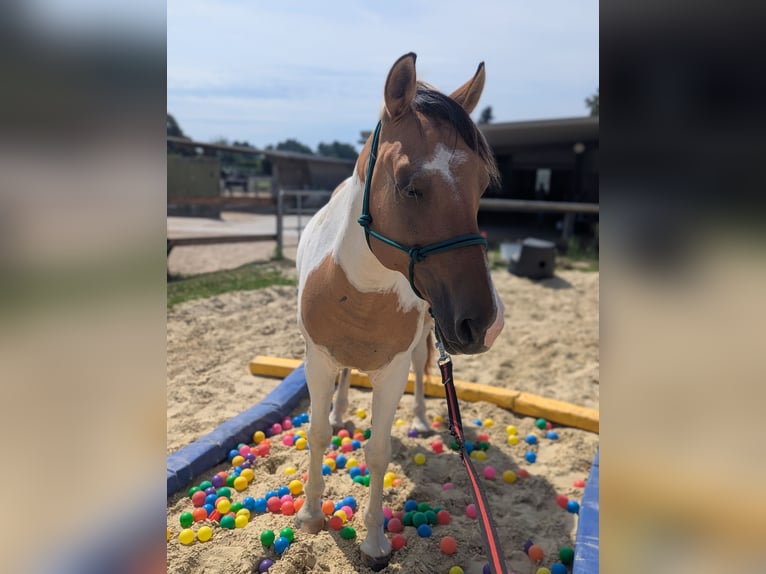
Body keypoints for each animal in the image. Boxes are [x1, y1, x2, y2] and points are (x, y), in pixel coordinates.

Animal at [295, 52, 505, 570]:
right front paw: (310, 515)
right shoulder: (317, 360)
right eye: (410, 187)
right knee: (345, 379)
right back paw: (341, 411)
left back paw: (422, 421)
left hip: (426, 340)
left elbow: (377, 452)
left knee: (421, 371)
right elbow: (316, 434)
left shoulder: (390, 373)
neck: (360, 289)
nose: (483, 324)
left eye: (482, 186)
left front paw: (373, 543)